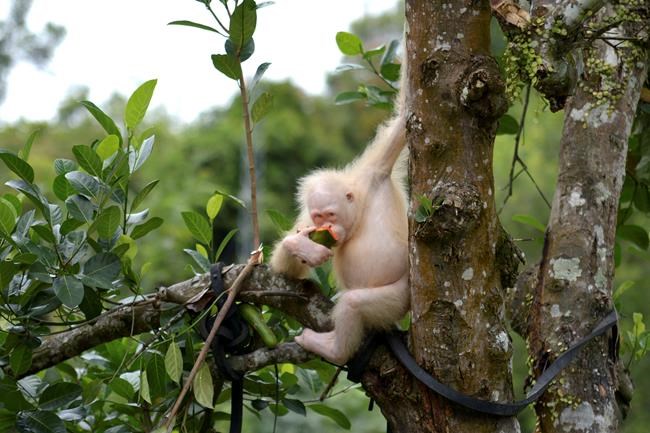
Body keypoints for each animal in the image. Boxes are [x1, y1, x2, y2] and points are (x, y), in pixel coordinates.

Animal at [270, 83, 409, 365]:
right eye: (319, 217)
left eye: (331, 215)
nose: (328, 226)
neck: (359, 210)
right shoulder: (307, 220)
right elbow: (286, 272)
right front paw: (301, 246)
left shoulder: (375, 172)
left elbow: (402, 123)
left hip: (399, 298)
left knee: (355, 302)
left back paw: (336, 351)